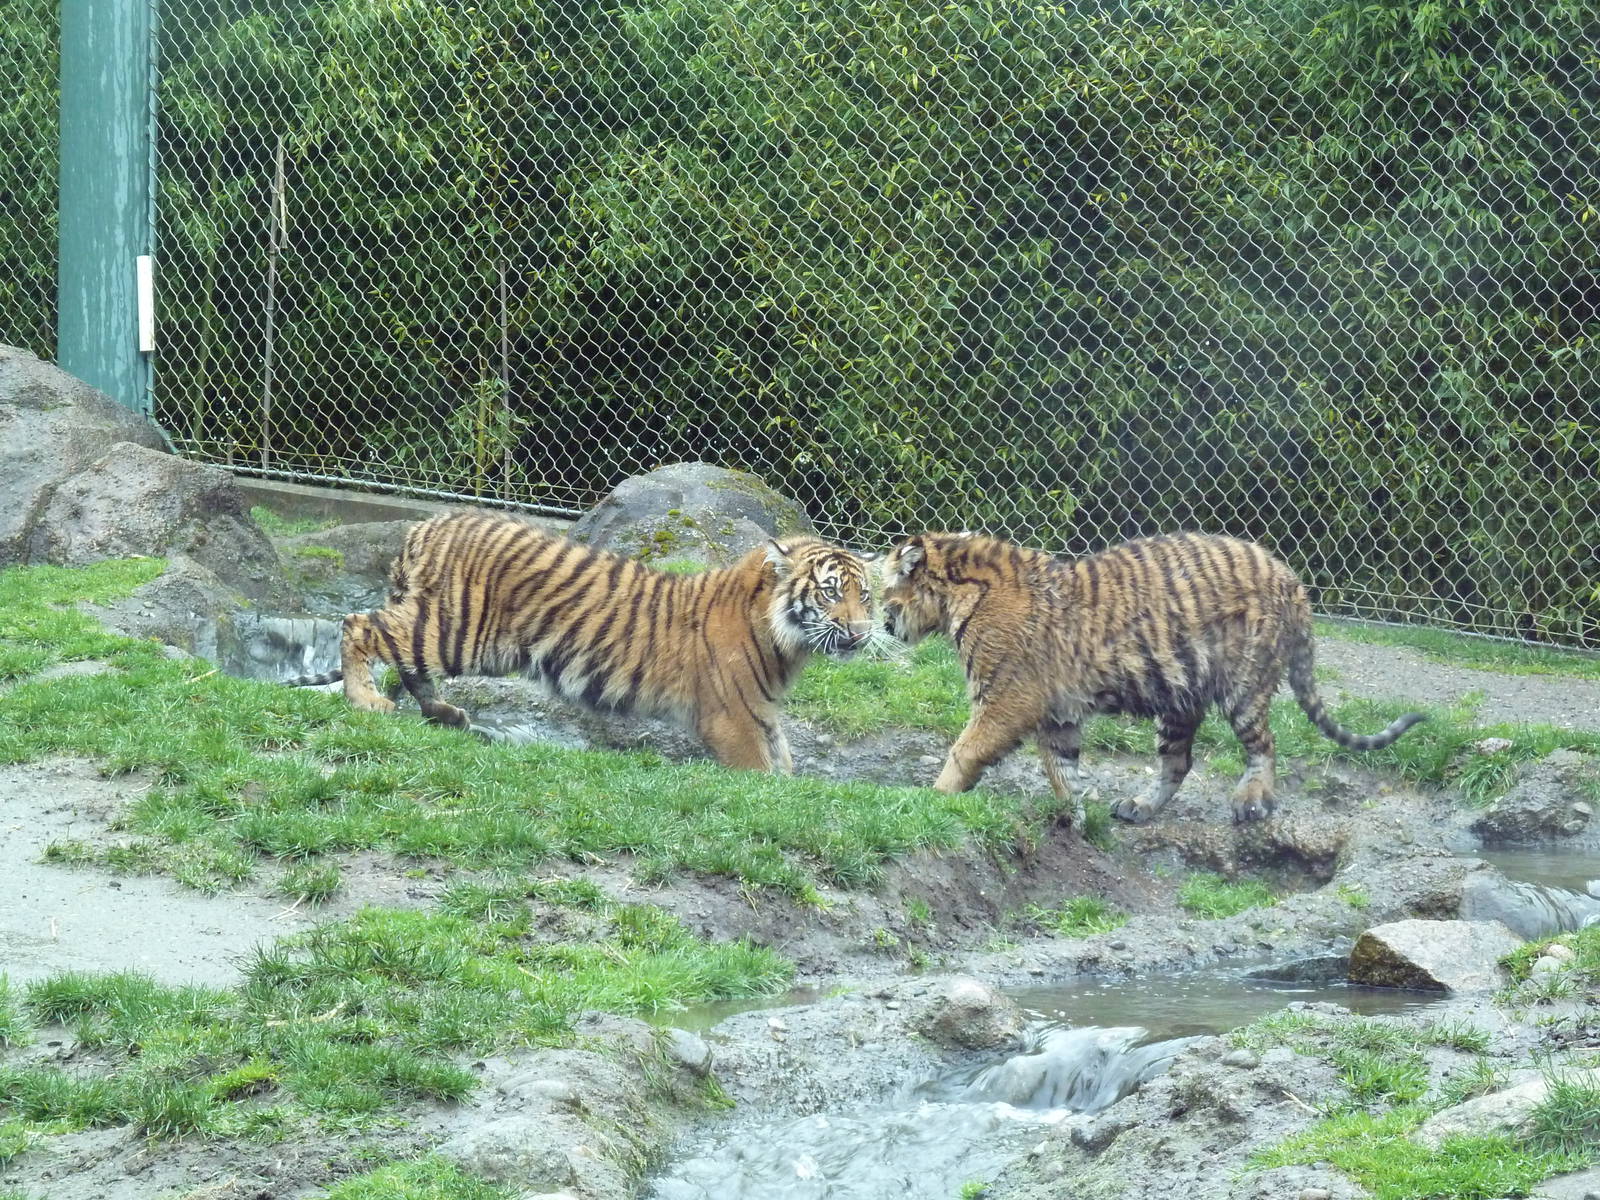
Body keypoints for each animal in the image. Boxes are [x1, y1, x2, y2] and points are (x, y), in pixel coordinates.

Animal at [287, 510, 874, 772]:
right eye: (830, 593)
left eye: (865, 596)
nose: (863, 632)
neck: (787, 644)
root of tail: (428, 522)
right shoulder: (732, 718)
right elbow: (759, 773)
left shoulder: (762, 712)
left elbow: (786, 765)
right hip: (458, 630)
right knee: (358, 624)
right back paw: (366, 701)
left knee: (406, 662)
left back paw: (446, 714)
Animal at [877, 530, 1426, 825]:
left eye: (883, 590)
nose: (879, 623)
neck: (957, 595)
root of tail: (1290, 577)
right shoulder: (1057, 714)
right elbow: (1061, 768)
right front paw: (1076, 818)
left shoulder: (1006, 698)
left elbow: (964, 749)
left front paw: (933, 799)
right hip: (1178, 701)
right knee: (1178, 763)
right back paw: (1139, 806)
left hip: (1244, 687)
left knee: (1264, 745)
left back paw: (1253, 802)